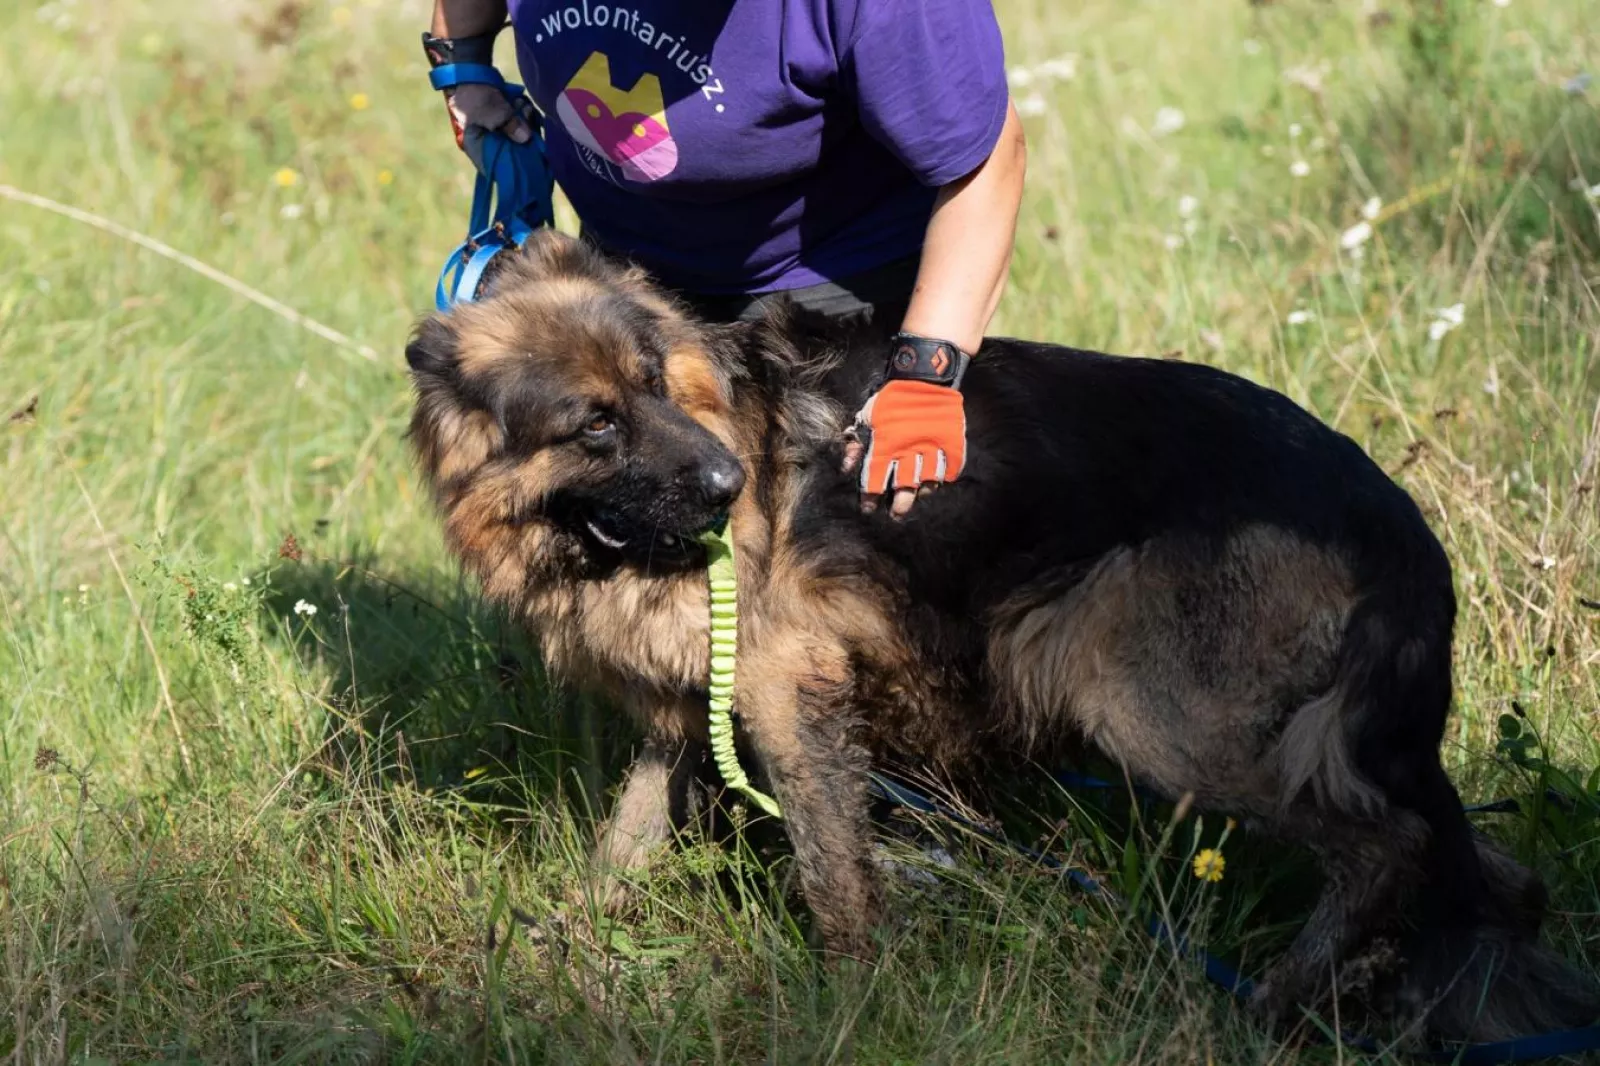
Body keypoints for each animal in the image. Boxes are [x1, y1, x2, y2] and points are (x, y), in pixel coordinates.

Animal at [405, 229, 1597, 1042]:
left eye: (657, 385)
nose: (731, 485)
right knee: (1474, 864)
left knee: (1392, 842)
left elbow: (833, 870)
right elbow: (626, 839)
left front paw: (850, 999)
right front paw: (558, 942)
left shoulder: (791, 696)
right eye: (596, 422)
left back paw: (1276, 998)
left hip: (1154, 708)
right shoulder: (688, 710)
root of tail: (1396, 522)